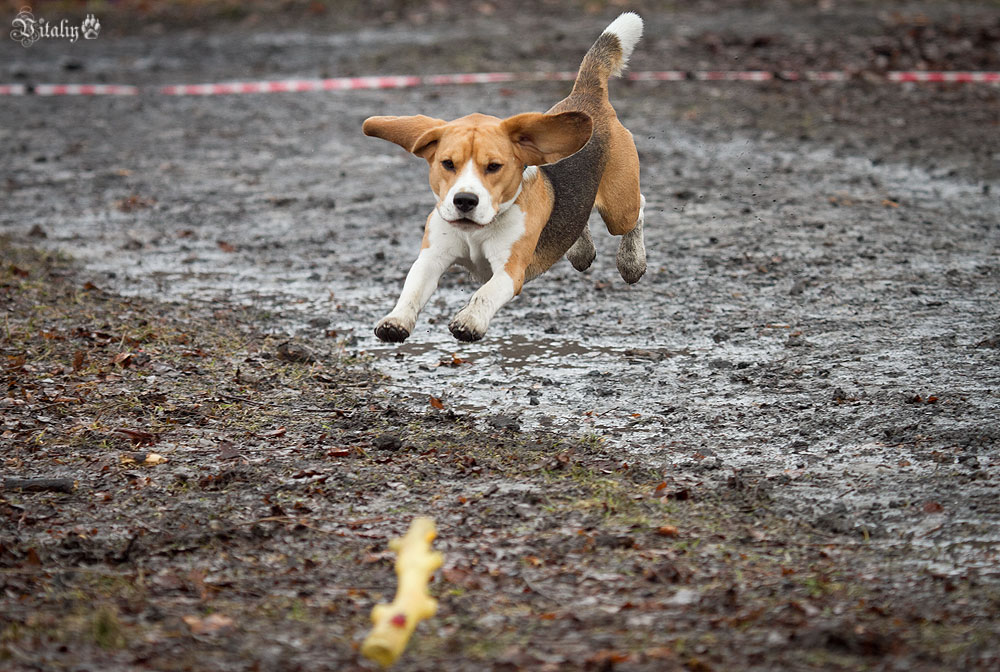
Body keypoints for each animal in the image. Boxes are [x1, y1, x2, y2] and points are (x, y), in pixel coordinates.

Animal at [368, 11, 648, 342]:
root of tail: (587, 95)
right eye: (448, 163)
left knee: (639, 208)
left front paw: (470, 321)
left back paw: (632, 261)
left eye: (494, 166)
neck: (477, 229)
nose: (464, 201)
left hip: (620, 208)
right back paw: (580, 250)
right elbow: (411, 290)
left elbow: (484, 294)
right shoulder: (431, 257)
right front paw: (395, 321)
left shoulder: (509, 270)